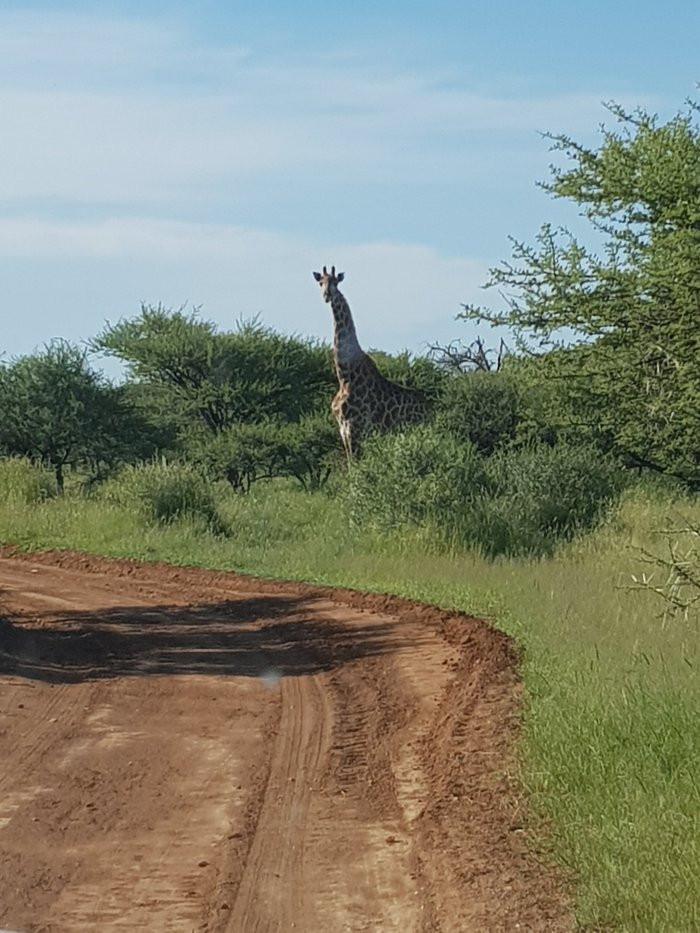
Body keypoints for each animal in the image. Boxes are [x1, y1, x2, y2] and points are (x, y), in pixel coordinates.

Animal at [314, 264, 424, 456]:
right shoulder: (343, 429)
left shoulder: (355, 427)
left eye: (335, 282)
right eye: (321, 282)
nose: (327, 296)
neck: (345, 375)